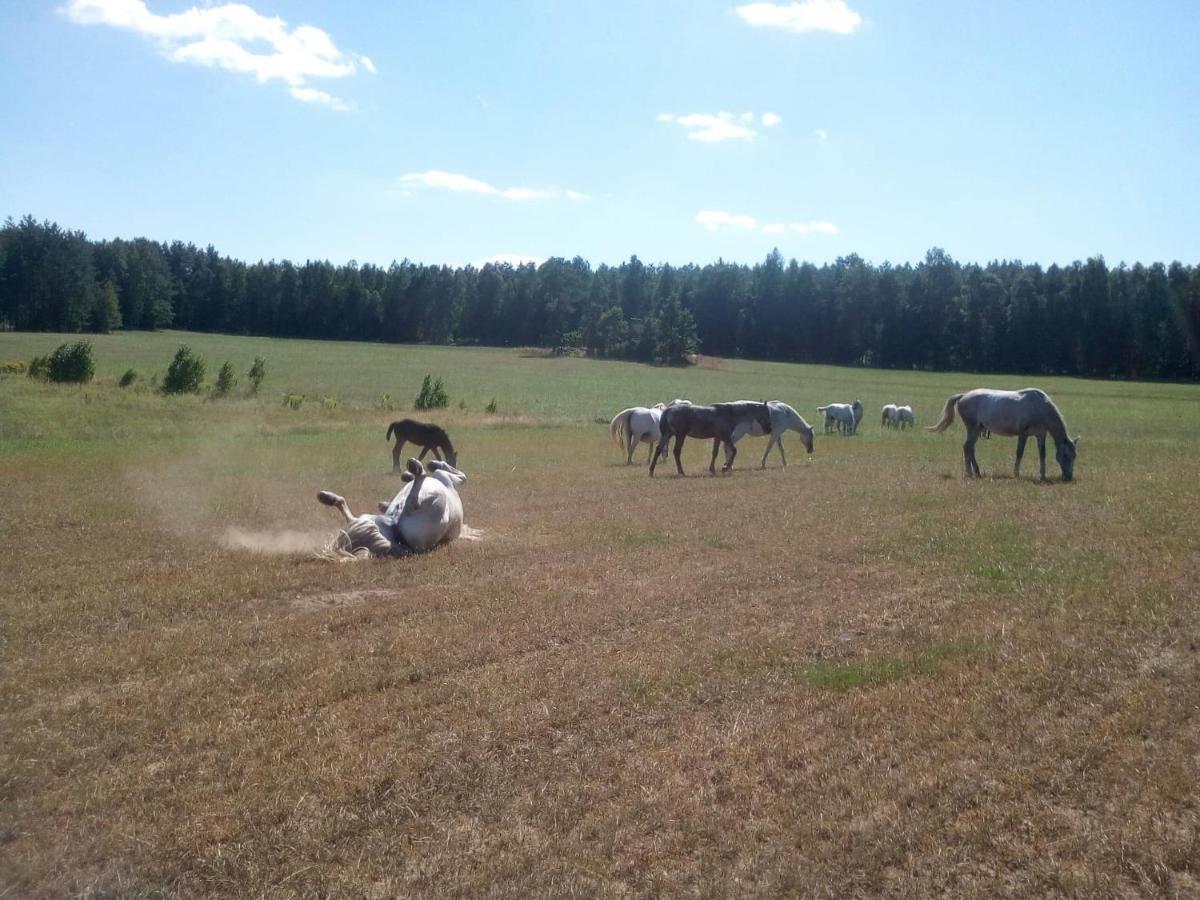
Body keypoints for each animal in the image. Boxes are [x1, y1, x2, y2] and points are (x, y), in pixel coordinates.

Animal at [926, 388, 1080, 482]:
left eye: (1074, 456)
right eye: (1065, 455)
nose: (1069, 476)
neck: (1040, 407)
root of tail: (963, 396)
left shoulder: (1041, 435)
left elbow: (1042, 454)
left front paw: (1042, 475)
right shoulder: (1023, 434)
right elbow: (1019, 452)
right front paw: (1016, 473)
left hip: (977, 429)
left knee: (970, 448)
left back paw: (977, 472)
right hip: (972, 428)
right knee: (967, 447)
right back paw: (969, 473)